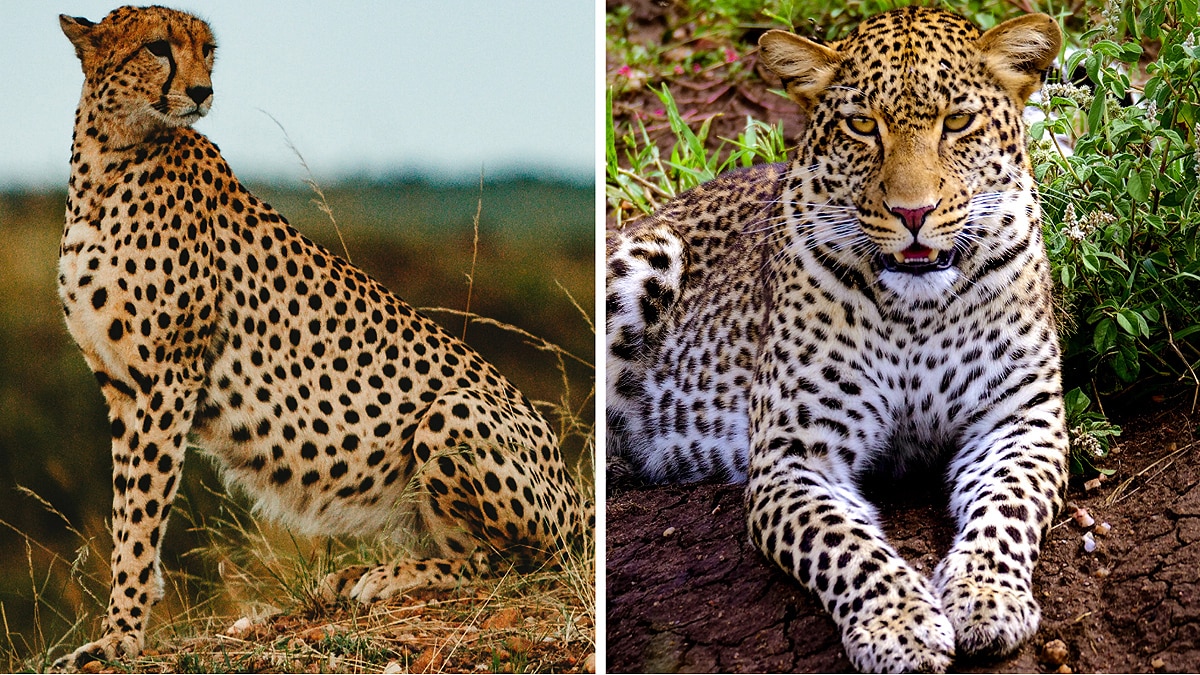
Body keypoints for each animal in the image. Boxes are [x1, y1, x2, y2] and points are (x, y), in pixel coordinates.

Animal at [54, 5, 585, 670]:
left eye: (208, 50)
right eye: (157, 47)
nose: (202, 91)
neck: (110, 158)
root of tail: (579, 501)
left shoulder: (166, 381)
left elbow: (142, 516)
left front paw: (120, 635)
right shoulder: (123, 387)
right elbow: (129, 511)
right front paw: (124, 624)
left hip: (455, 412)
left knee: (508, 564)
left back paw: (387, 576)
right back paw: (352, 575)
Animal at [607, 7, 1067, 672]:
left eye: (957, 122)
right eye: (861, 126)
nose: (913, 213)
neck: (915, 313)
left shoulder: (1019, 423)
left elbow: (1006, 513)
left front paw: (985, 599)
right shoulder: (796, 456)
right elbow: (845, 545)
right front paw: (900, 628)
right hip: (646, 255)